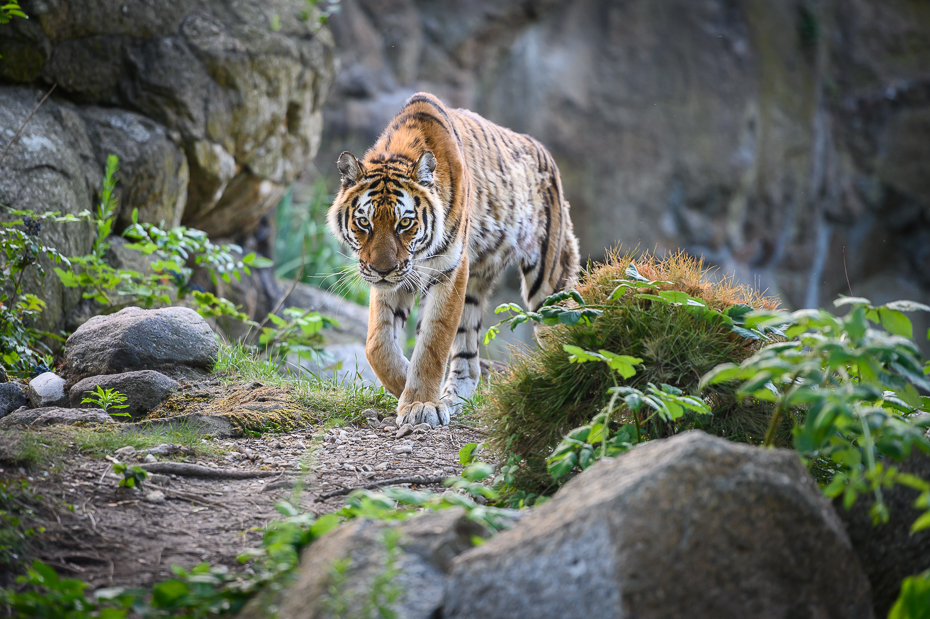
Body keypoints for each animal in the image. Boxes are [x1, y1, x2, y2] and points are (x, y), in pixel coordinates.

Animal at [324, 92, 572, 428]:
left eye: (405, 223)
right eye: (364, 223)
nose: (382, 270)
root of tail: (542, 150)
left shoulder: (449, 270)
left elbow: (433, 341)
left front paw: (420, 403)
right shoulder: (398, 279)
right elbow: (377, 344)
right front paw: (406, 384)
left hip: (548, 280)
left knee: (561, 328)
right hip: (474, 288)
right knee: (468, 357)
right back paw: (454, 399)